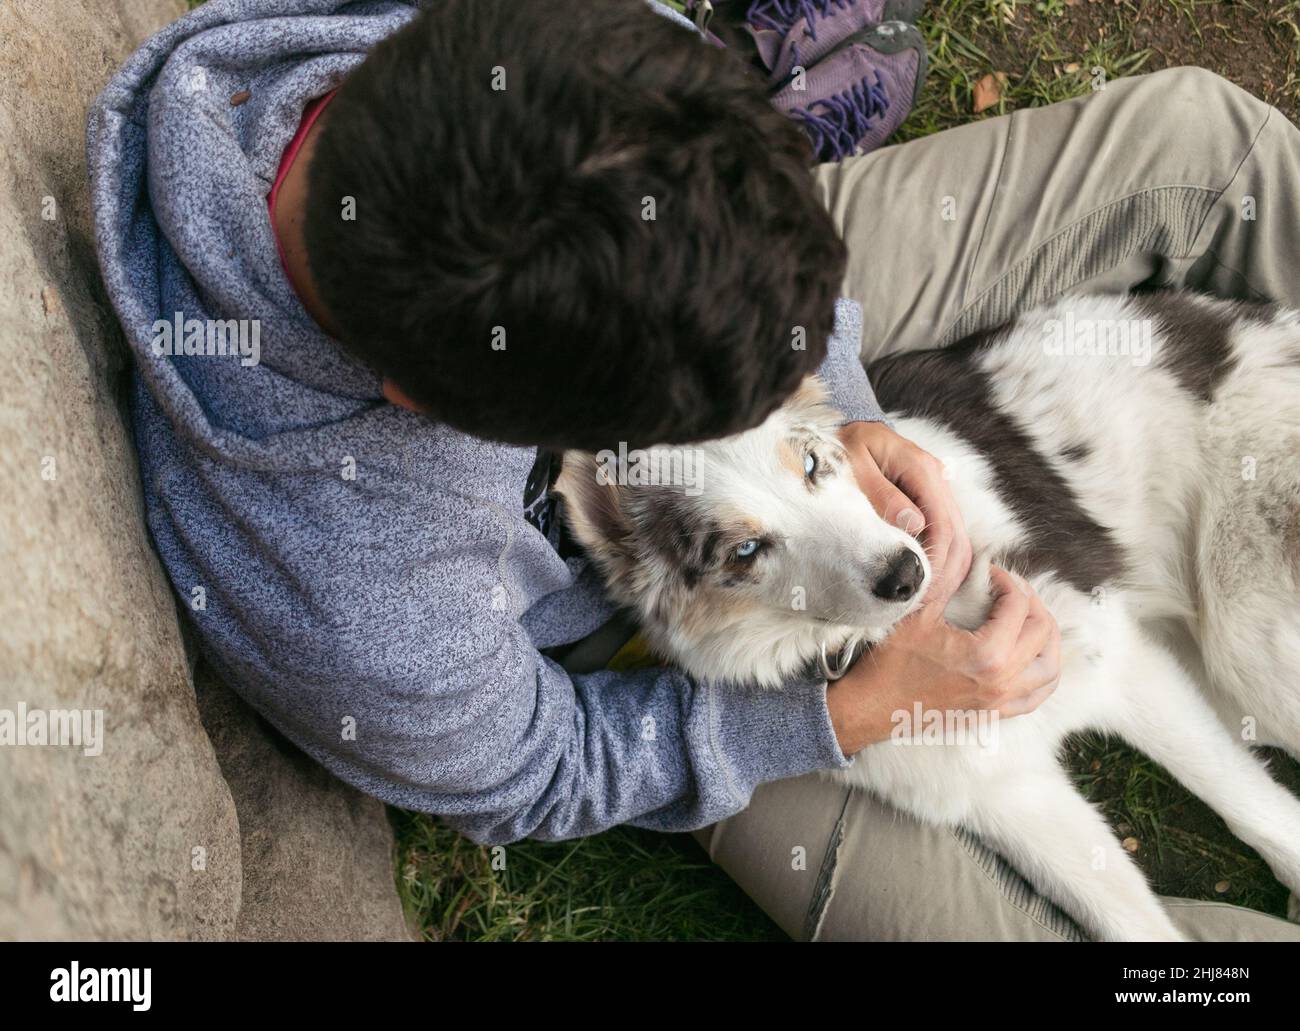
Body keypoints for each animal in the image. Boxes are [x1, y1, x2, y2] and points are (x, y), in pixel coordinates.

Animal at [553, 289, 1300, 941]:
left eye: (814, 464)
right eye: (744, 550)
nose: (907, 572)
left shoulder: (1121, 662)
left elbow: (1252, 806)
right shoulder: (1006, 792)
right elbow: (1129, 918)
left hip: (1248, 643)